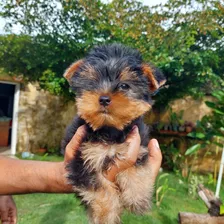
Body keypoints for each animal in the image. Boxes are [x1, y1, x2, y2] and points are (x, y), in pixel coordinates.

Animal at [62, 43, 165, 223]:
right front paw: (107, 215)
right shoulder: (83, 158)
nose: (103, 98)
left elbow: (135, 169)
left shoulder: (137, 148)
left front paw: (137, 199)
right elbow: (100, 188)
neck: (110, 129)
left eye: (124, 86)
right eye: (92, 84)